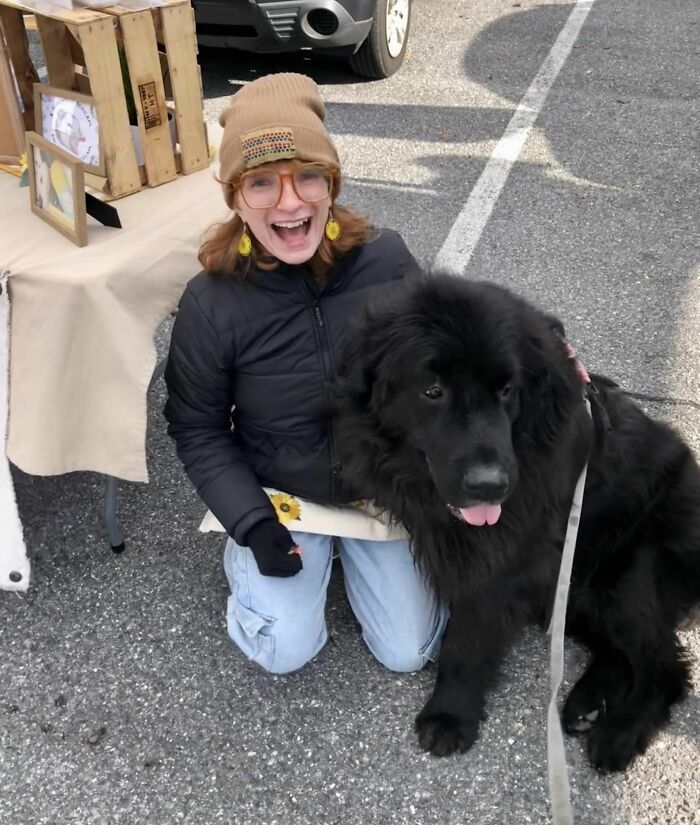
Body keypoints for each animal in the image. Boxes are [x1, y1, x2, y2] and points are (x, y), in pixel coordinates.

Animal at [334, 274, 700, 768]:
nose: (489, 484)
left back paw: (617, 733)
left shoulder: (505, 564)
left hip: (625, 575)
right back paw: (586, 704)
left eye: (507, 391)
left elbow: (467, 640)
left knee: (664, 666)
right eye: (432, 391)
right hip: (575, 585)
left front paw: (450, 715)